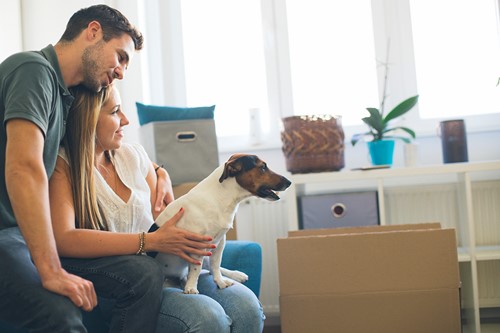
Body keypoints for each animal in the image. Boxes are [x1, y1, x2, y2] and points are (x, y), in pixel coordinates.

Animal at [154, 153, 292, 294]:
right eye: (263, 167)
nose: (289, 182)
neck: (219, 198)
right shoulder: (198, 247)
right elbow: (196, 269)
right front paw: (191, 287)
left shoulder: (219, 243)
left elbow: (216, 265)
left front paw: (220, 282)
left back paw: (235, 274)